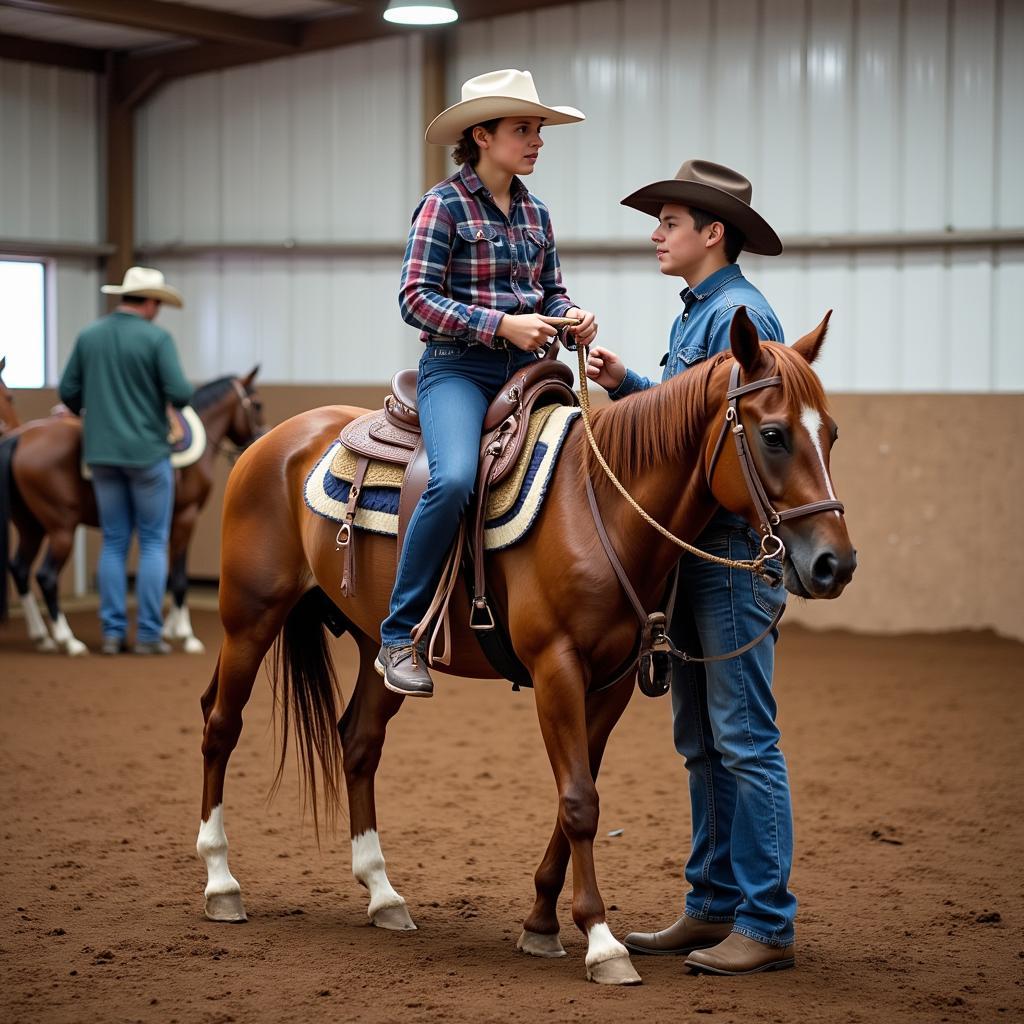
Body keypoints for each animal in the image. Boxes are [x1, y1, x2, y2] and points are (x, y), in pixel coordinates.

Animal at [1, 368, 264, 655]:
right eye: (257, 405)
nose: (260, 440)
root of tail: (19, 437)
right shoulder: (186, 516)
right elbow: (179, 577)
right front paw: (185, 635)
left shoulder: (168, 522)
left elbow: (168, 575)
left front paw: (168, 629)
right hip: (61, 528)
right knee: (46, 576)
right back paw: (68, 640)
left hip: (31, 526)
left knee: (20, 569)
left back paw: (42, 637)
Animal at [193, 309, 856, 983]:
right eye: (773, 435)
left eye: (830, 432)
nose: (835, 564)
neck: (598, 505)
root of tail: (273, 442)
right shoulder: (556, 668)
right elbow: (580, 801)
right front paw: (602, 943)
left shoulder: (612, 682)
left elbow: (575, 795)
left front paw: (541, 924)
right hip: (249, 619)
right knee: (221, 725)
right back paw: (222, 884)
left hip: (376, 642)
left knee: (357, 741)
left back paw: (383, 895)